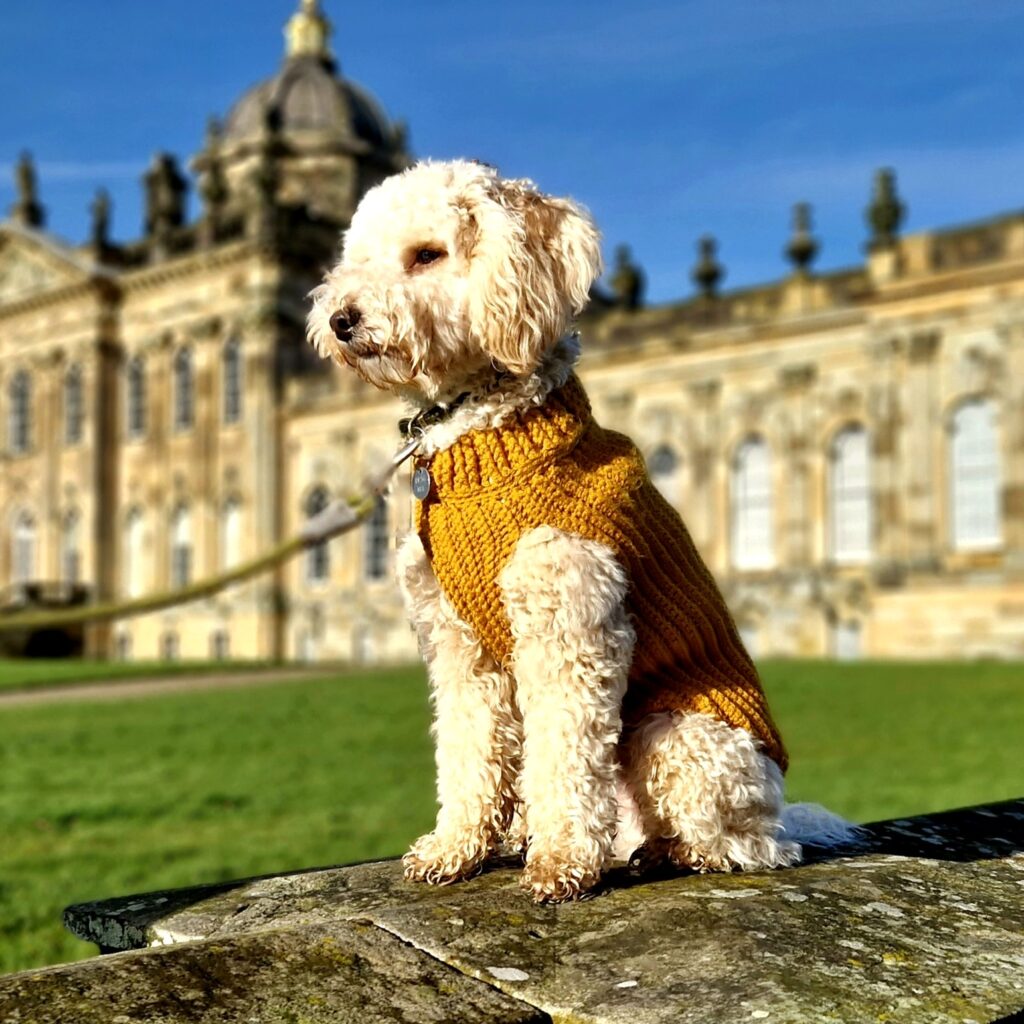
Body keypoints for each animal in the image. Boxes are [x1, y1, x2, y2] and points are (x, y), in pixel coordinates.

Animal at [305, 159, 856, 905]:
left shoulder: (571, 626)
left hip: (676, 734)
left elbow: (565, 753)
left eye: (427, 254)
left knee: (751, 847)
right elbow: (469, 751)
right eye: (357, 257)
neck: (483, 432)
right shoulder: (460, 646)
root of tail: (777, 800)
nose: (340, 319)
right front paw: (456, 848)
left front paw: (561, 860)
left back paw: (666, 851)